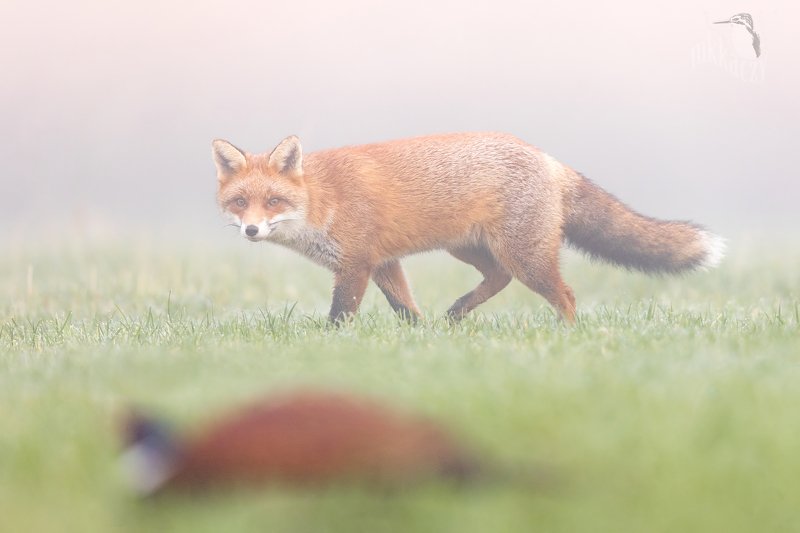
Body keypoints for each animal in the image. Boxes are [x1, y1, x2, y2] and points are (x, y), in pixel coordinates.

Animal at [212, 132, 724, 323]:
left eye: (273, 201)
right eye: (239, 203)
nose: (251, 231)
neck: (323, 199)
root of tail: (547, 157)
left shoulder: (355, 264)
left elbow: (340, 315)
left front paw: (333, 346)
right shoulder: (383, 262)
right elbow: (405, 308)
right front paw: (417, 338)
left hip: (526, 256)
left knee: (565, 294)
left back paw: (570, 334)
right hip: (470, 250)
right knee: (498, 278)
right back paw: (457, 314)